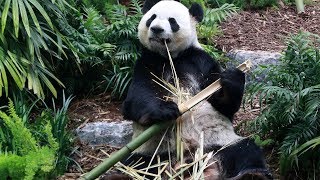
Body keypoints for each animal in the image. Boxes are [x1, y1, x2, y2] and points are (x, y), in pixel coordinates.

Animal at [115, 0, 272, 179]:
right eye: (151, 18)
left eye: (172, 21)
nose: (156, 29)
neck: (171, 56)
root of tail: (188, 161)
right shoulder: (146, 63)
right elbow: (135, 100)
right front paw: (165, 110)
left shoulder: (201, 61)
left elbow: (223, 105)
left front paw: (232, 78)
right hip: (152, 152)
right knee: (136, 163)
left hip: (220, 142)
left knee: (245, 149)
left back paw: (253, 173)